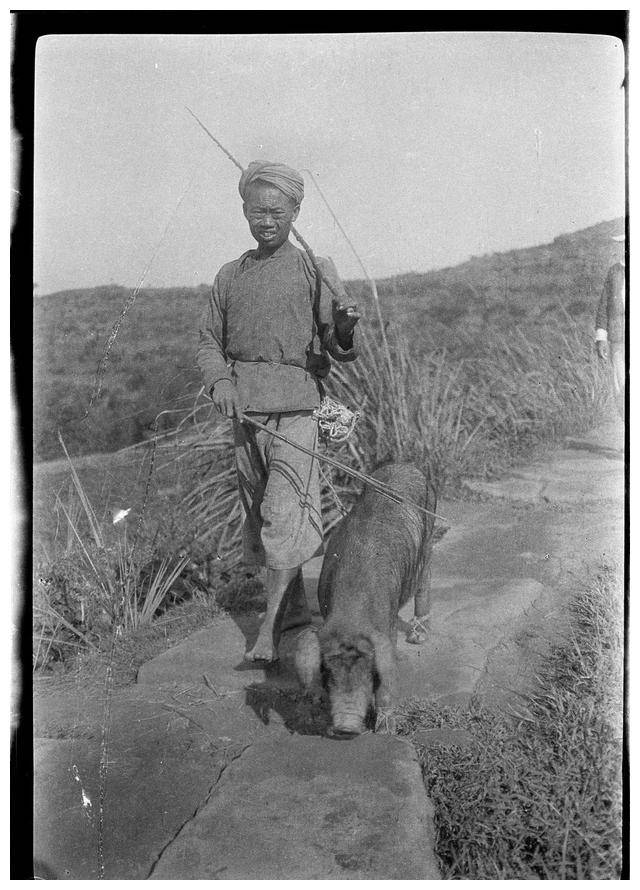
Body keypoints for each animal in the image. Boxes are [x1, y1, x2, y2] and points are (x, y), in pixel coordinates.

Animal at [294, 462, 436, 740]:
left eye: (369, 673)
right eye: (328, 672)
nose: (346, 728)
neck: (351, 615)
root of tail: (406, 464)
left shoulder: (386, 628)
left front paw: (385, 731)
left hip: (428, 534)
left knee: (425, 576)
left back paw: (418, 637)